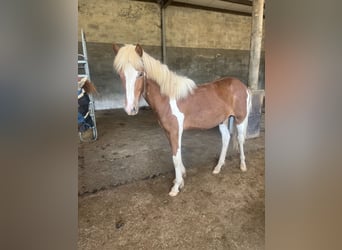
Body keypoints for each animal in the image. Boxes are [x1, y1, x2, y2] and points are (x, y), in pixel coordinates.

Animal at [112, 44, 251, 196]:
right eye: (120, 75)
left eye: (140, 74)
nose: (130, 109)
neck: (167, 98)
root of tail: (243, 86)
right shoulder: (168, 132)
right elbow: (176, 155)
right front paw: (181, 178)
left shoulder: (175, 132)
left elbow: (175, 157)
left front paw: (176, 186)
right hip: (223, 121)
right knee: (226, 139)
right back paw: (218, 167)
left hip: (240, 119)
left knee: (240, 139)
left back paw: (243, 165)